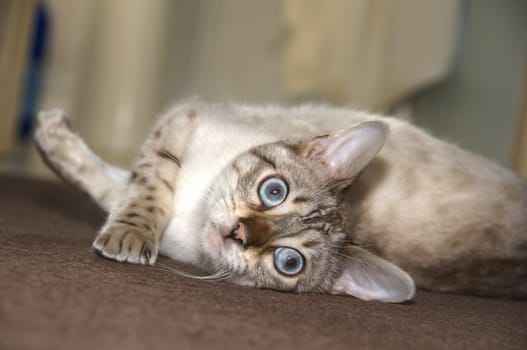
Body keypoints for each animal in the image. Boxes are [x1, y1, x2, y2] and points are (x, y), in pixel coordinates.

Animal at [34, 98, 527, 300]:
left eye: (289, 262)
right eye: (274, 191)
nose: (238, 232)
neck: (189, 225)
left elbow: (116, 187)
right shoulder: (184, 119)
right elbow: (147, 186)